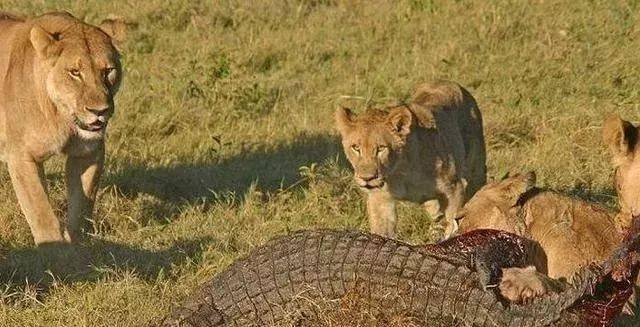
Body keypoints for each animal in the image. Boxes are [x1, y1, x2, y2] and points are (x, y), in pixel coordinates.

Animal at [0, 11, 127, 245]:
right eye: (75, 72)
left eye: (108, 71)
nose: (99, 111)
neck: (61, 117)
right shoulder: (21, 156)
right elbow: (41, 213)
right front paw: (54, 250)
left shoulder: (89, 153)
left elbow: (82, 206)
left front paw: (77, 246)